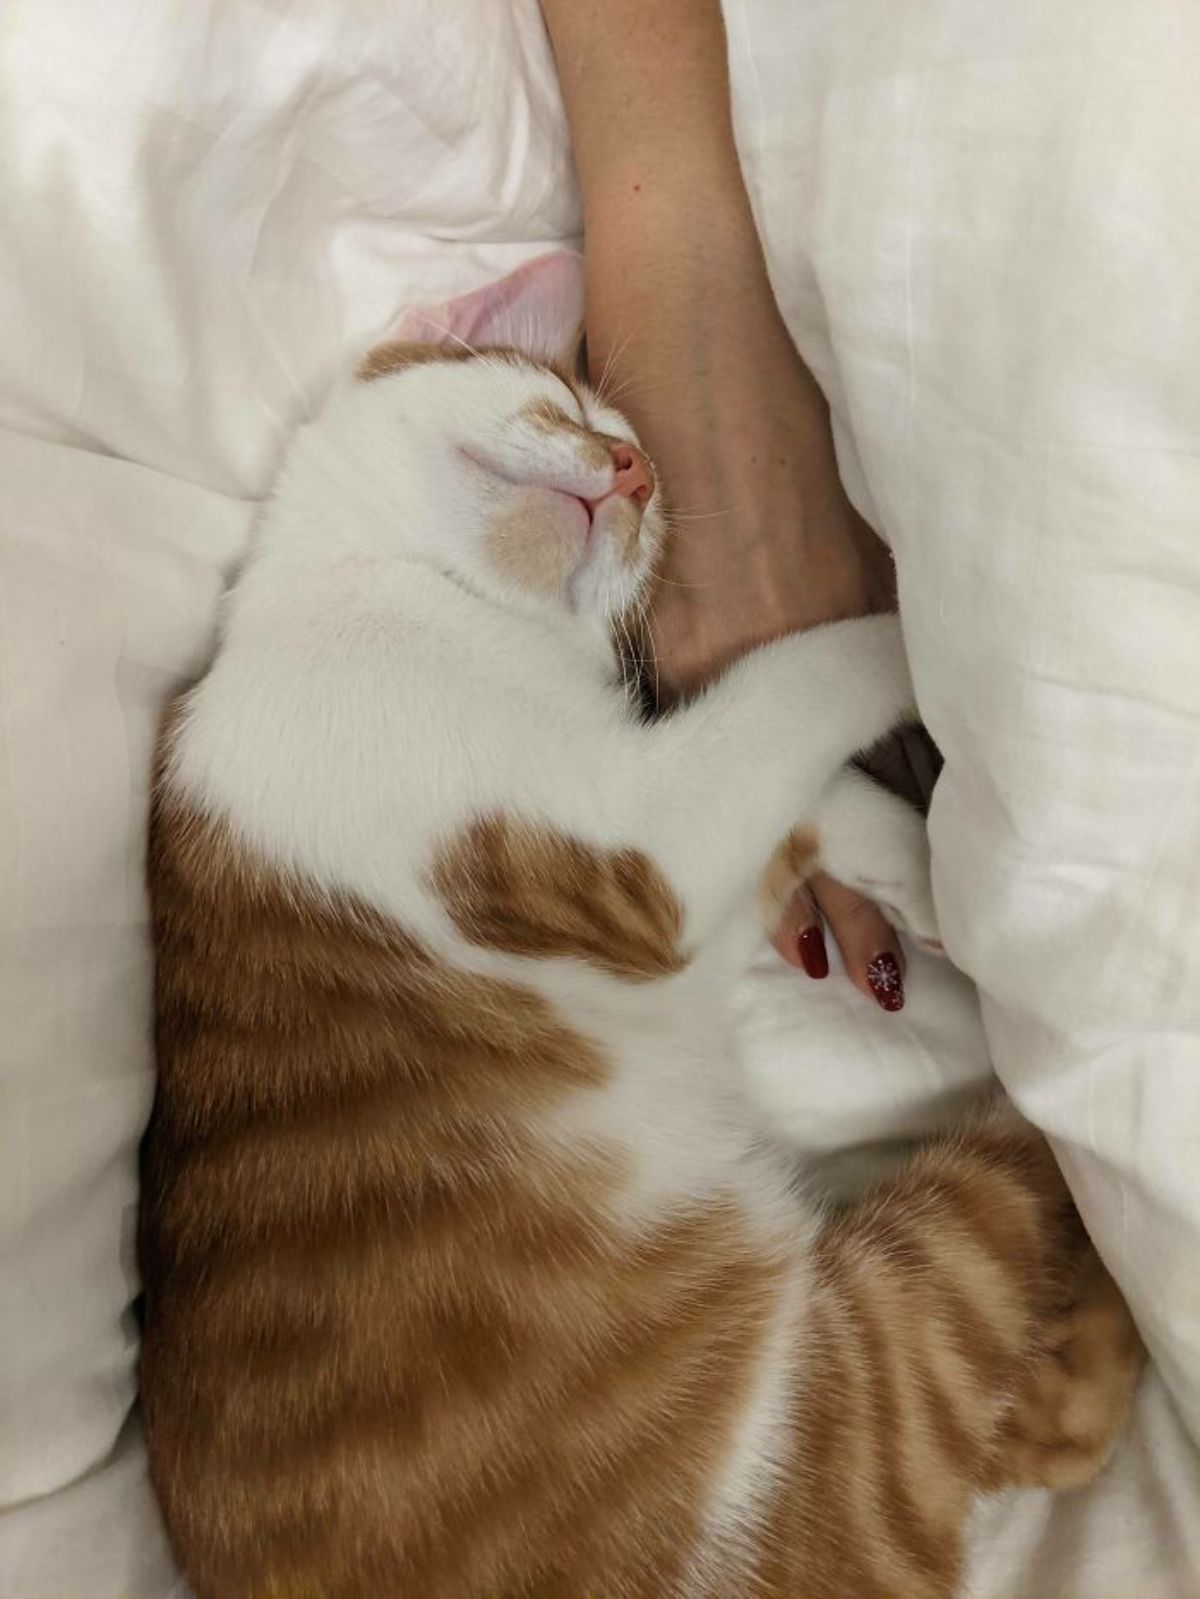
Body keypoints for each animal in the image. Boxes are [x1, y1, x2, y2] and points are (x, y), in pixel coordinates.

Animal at [136, 252, 1139, 1599]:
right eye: (568, 406)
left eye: (647, 506)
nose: (634, 472)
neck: (438, 608)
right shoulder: (643, 841)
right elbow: (795, 685)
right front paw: (899, 637)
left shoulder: (648, 805)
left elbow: (804, 802)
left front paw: (908, 874)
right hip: (897, 1329)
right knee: (1014, 1208)